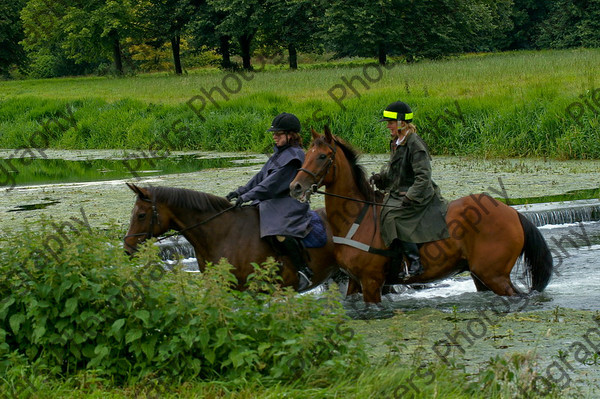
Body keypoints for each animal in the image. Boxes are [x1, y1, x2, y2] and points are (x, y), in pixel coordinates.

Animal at [290, 128, 552, 304]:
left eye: (322, 156)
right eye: (306, 154)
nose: (295, 187)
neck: (357, 219)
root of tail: (513, 212)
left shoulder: (372, 283)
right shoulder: (355, 281)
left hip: (495, 275)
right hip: (481, 275)